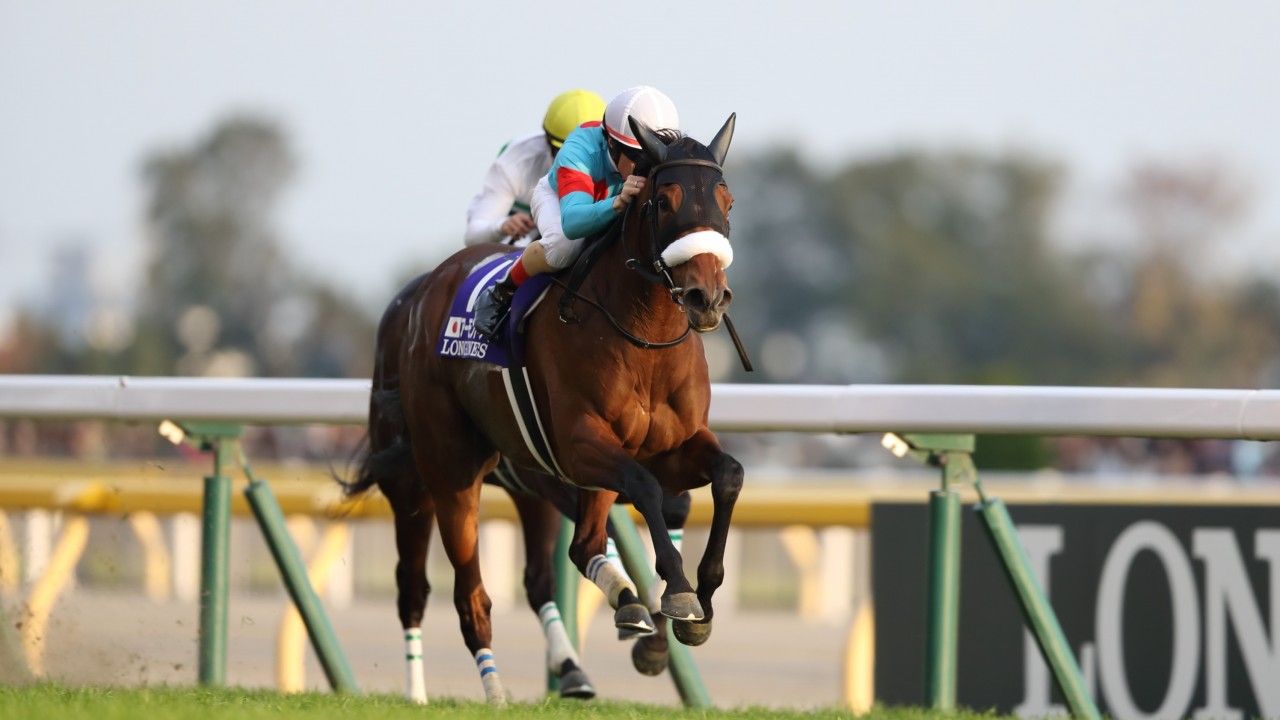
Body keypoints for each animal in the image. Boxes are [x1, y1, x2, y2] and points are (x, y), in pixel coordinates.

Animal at [342, 113, 743, 705]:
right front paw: (677, 591)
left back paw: (614, 618)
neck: (643, 338)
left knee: (574, 551)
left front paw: (701, 598)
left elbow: (725, 477)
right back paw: (477, 691)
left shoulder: (671, 446)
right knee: (451, 595)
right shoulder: (579, 446)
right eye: (664, 200)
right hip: (436, 478)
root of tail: (422, 294)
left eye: (726, 200)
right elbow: (645, 490)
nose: (706, 297)